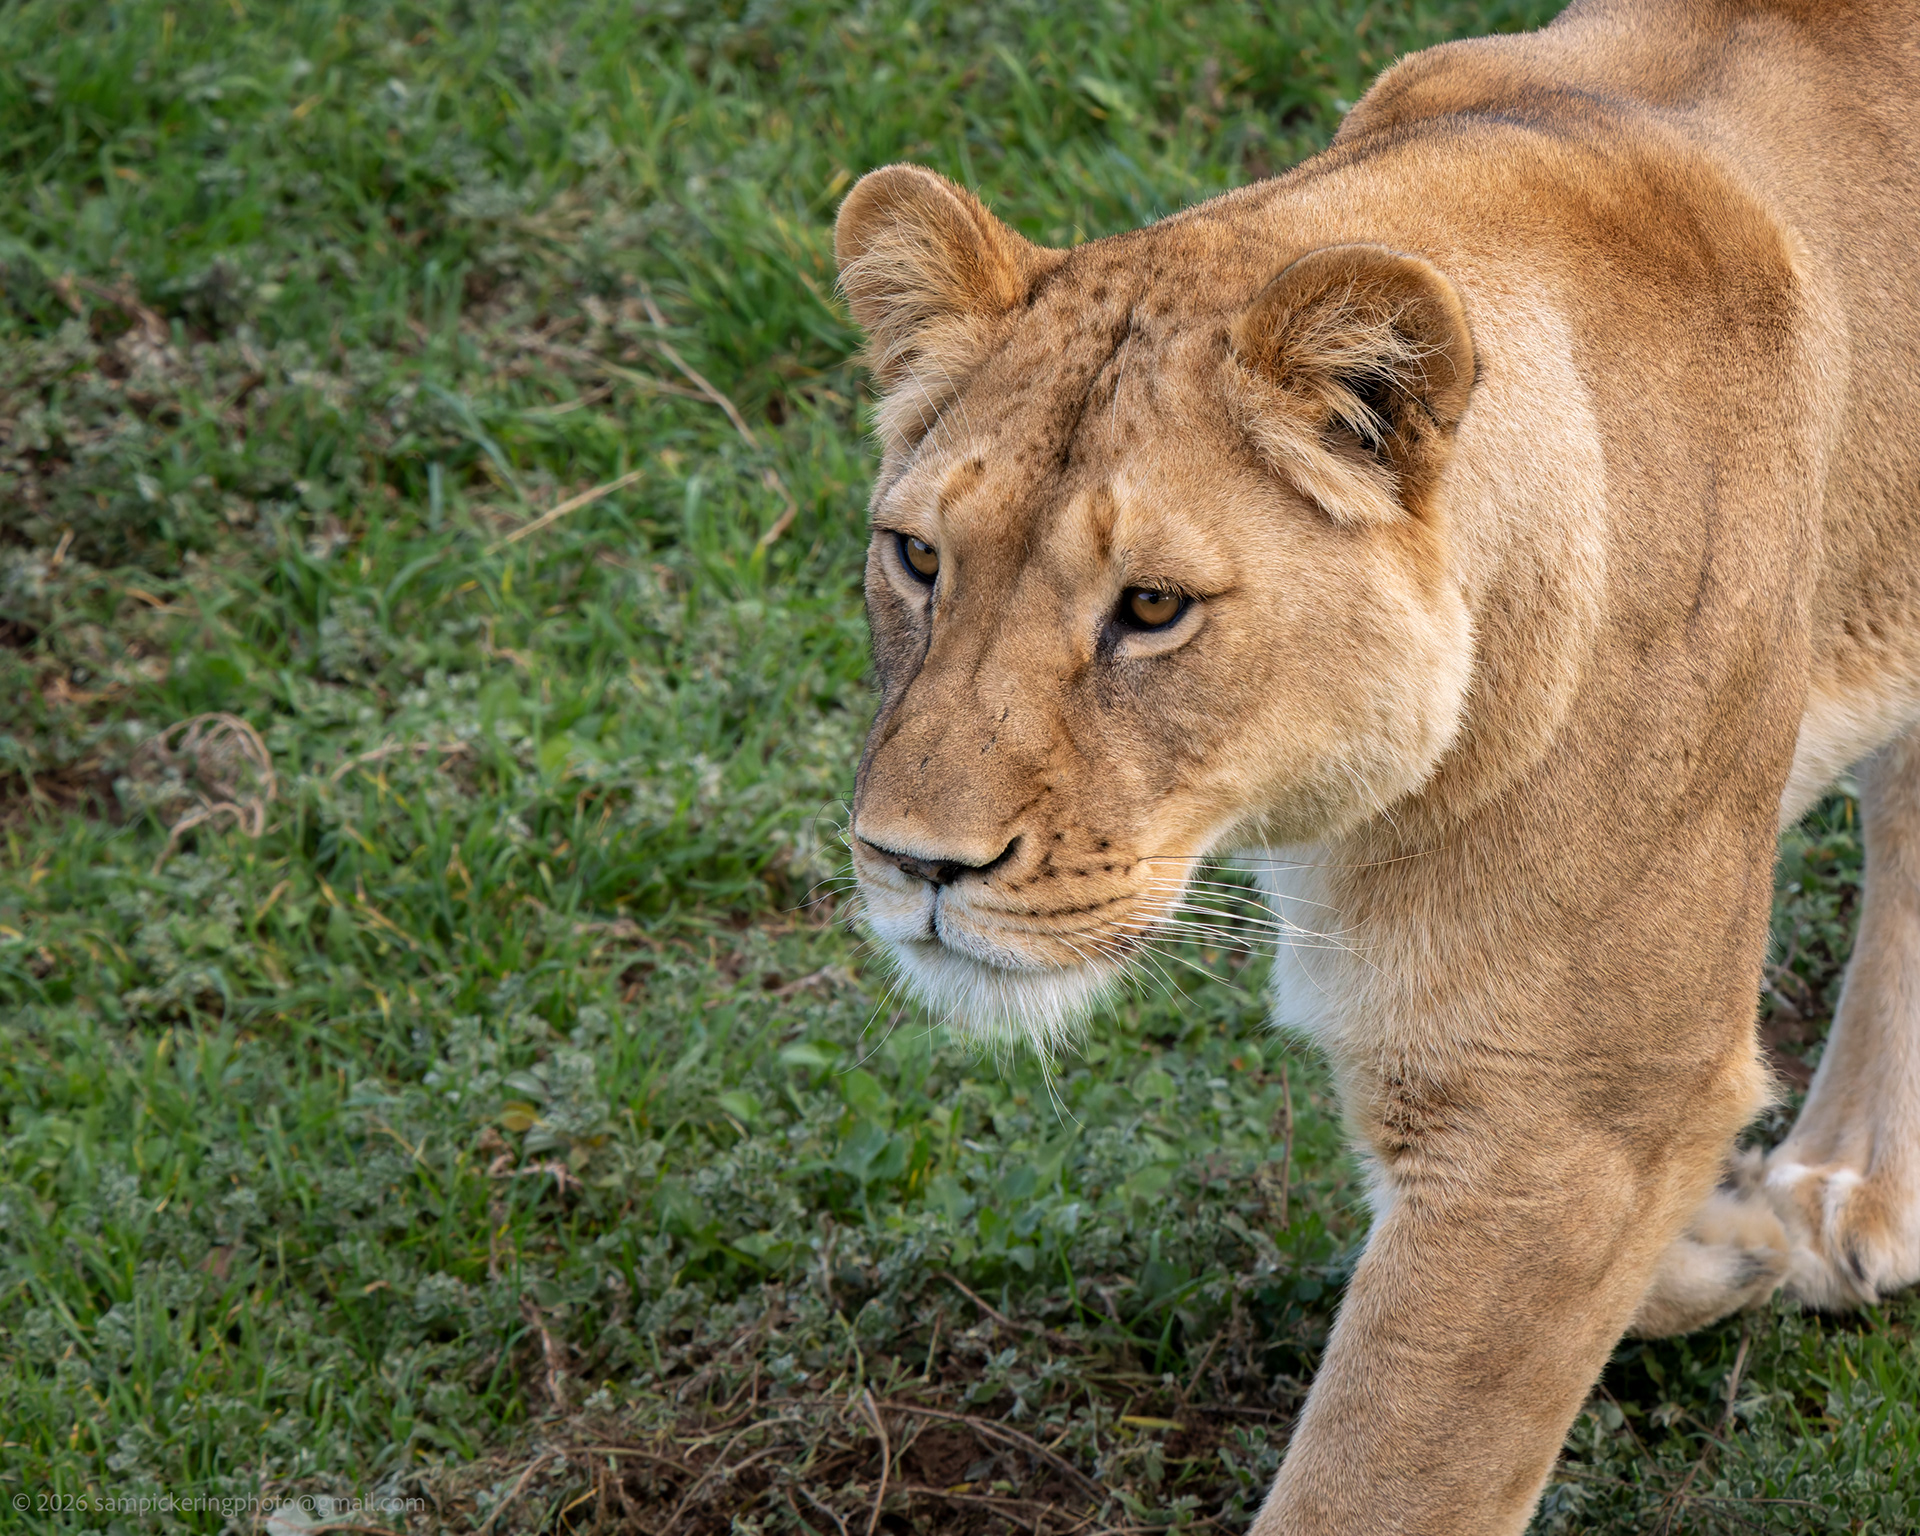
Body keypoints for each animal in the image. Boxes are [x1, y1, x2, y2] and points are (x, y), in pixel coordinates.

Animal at [830, 0, 1920, 1529]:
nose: (914, 863)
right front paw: (1721, 1243)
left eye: (1152, 607)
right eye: (920, 558)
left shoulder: (1555, 1116)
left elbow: (1374, 1478)